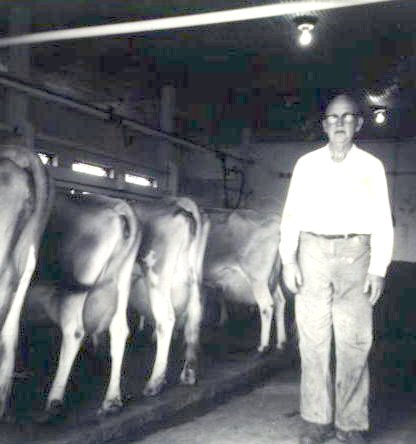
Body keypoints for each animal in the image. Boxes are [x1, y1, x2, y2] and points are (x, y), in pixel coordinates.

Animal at [24, 192, 141, 420]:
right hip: (121, 278)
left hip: (80, 278)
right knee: (119, 330)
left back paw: (55, 400)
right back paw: (111, 399)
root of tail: (117, 206)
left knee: (75, 331)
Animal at [128, 198, 210, 396]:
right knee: (195, 317)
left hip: (157, 278)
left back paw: (155, 382)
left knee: (166, 319)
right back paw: (188, 374)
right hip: (194, 279)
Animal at [202, 208, 286, 354]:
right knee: (280, 301)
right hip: (272, 278)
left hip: (258, 279)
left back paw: (263, 346)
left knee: (266, 306)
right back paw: (281, 341)